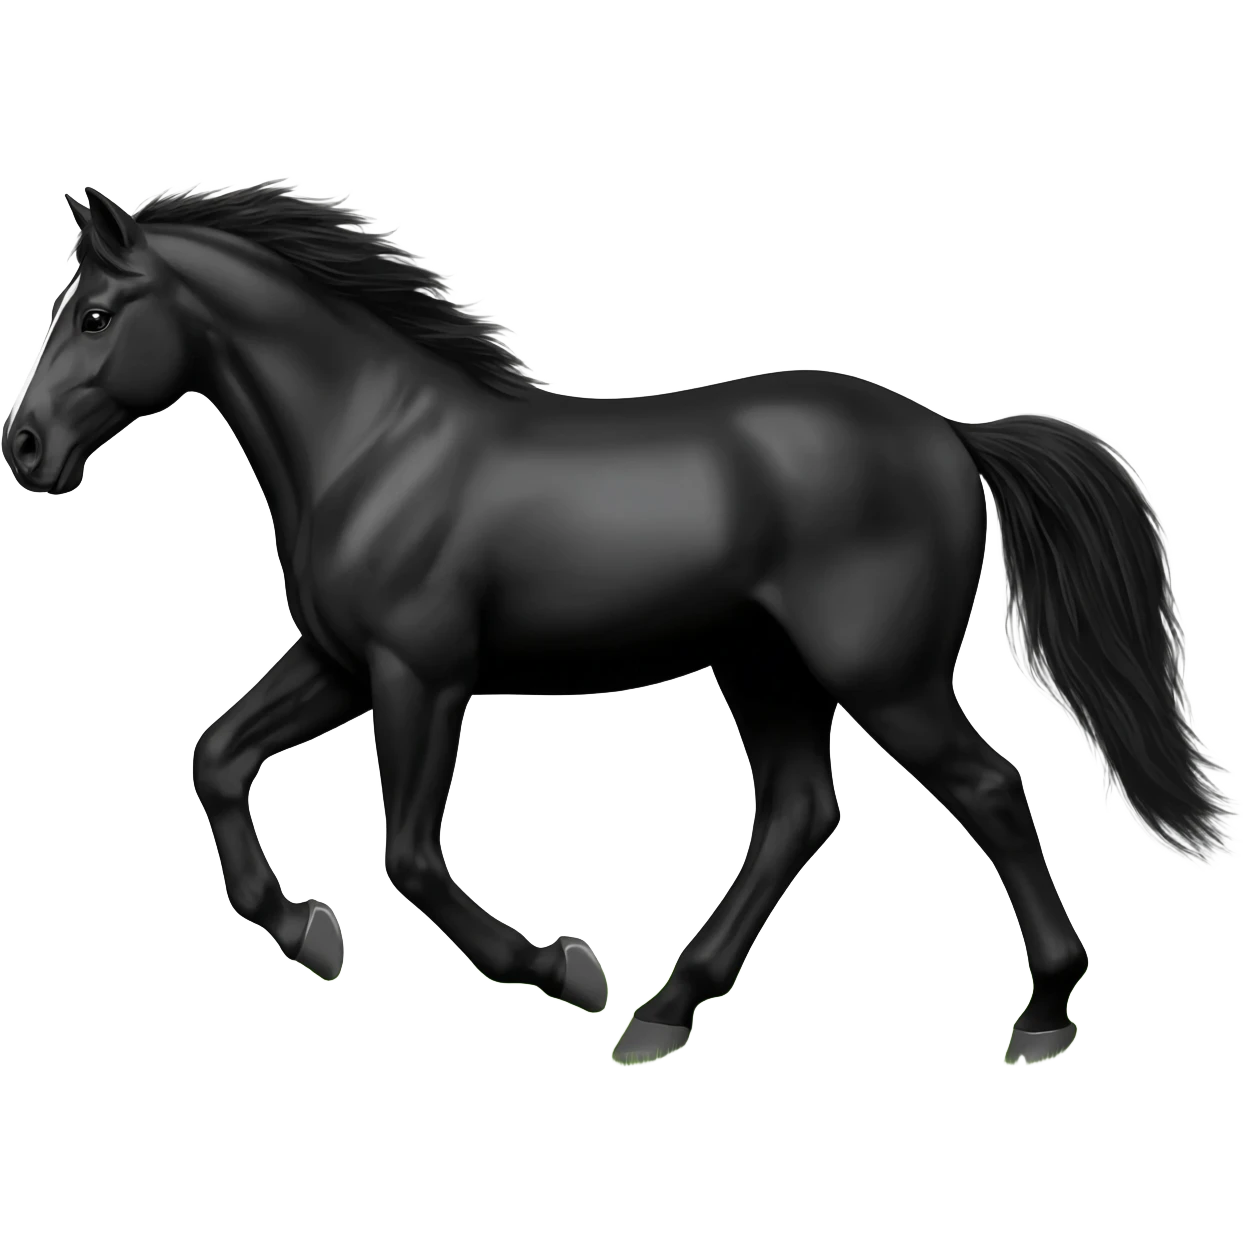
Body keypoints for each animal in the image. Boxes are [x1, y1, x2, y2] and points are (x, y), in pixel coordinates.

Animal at [3, 182, 1235, 1070]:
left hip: (881, 675)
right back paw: (667, 1009)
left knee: (986, 789)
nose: (24, 448)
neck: (372, 444)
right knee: (800, 809)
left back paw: (1041, 1012)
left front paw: (561, 967)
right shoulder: (340, 663)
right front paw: (307, 929)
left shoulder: (420, 674)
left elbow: (410, 853)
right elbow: (218, 755)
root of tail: (950, 433)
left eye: (96, 314)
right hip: (765, 667)